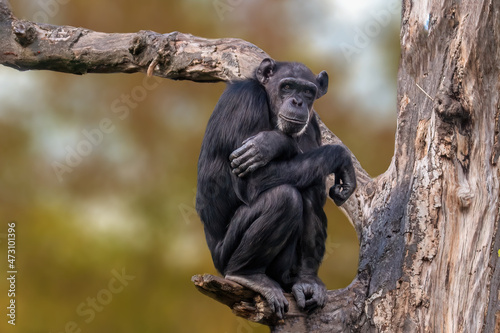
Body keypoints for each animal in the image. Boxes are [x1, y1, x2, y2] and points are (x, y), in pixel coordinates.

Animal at [195, 58, 356, 318]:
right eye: (287, 86)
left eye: (308, 91)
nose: (298, 102)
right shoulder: (246, 102)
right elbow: (251, 182)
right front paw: (276, 142)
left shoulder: (312, 125)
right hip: (224, 255)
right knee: (284, 197)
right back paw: (247, 274)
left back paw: (303, 280)